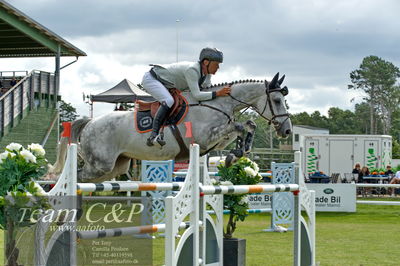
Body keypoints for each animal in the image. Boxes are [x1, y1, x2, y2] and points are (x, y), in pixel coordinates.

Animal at [51, 71, 292, 182]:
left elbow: (246, 126)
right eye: (277, 100)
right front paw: (236, 154)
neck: (216, 103)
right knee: (75, 176)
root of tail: (89, 122)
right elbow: (239, 127)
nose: (287, 130)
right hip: (99, 165)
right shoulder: (204, 138)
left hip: (114, 167)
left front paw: (237, 153)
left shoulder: (217, 140)